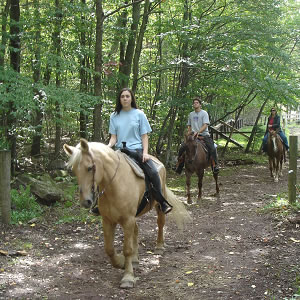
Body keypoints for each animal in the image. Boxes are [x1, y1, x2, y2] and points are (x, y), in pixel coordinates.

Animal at [63, 139, 190, 290]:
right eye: (74, 170)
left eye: (89, 168)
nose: (86, 201)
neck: (115, 184)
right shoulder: (108, 220)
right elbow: (109, 249)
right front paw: (121, 262)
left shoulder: (128, 219)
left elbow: (127, 249)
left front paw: (128, 277)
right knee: (136, 231)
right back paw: (135, 260)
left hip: (159, 205)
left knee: (160, 223)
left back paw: (159, 246)